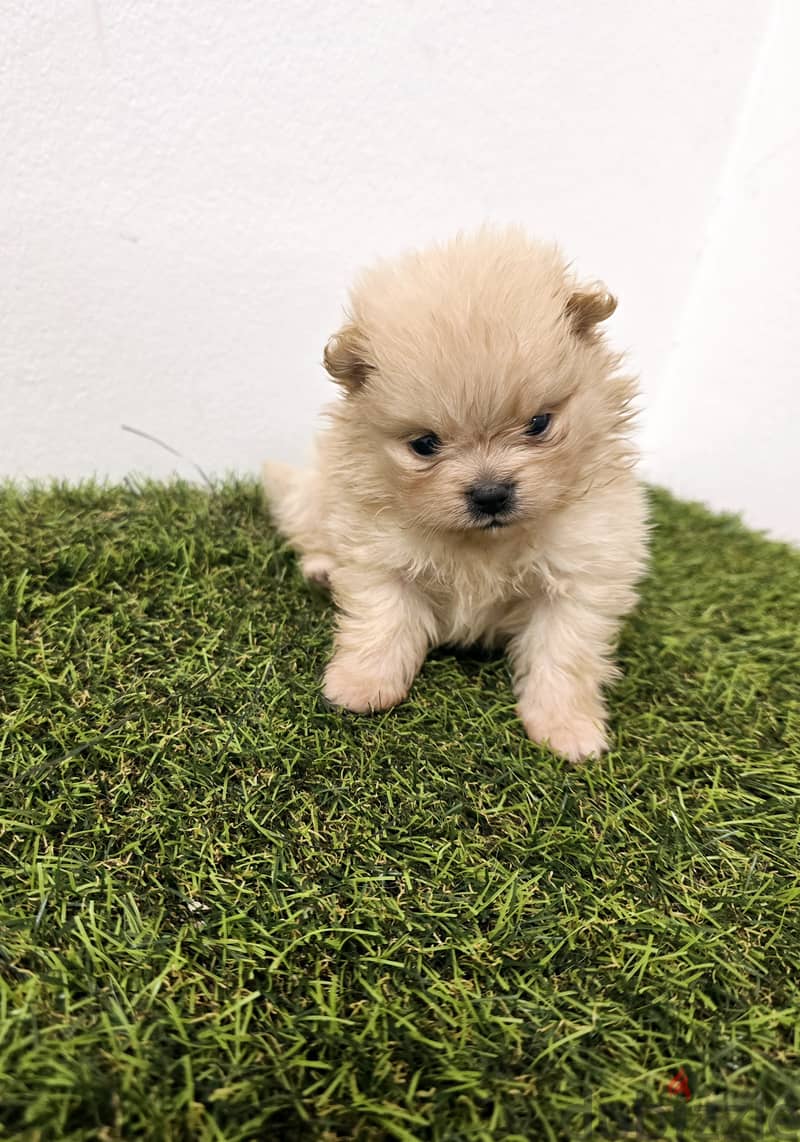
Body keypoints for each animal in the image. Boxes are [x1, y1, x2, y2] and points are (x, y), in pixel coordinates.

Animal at [263, 227, 648, 762]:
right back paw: (322, 568)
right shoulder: (379, 552)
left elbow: (564, 656)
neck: (482, 542)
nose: (490, 494)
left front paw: (566, 728)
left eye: (539, 424)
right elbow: (381, 621)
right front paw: (361, 686)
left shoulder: (580, 578)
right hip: (316, 493)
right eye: (425, 445)